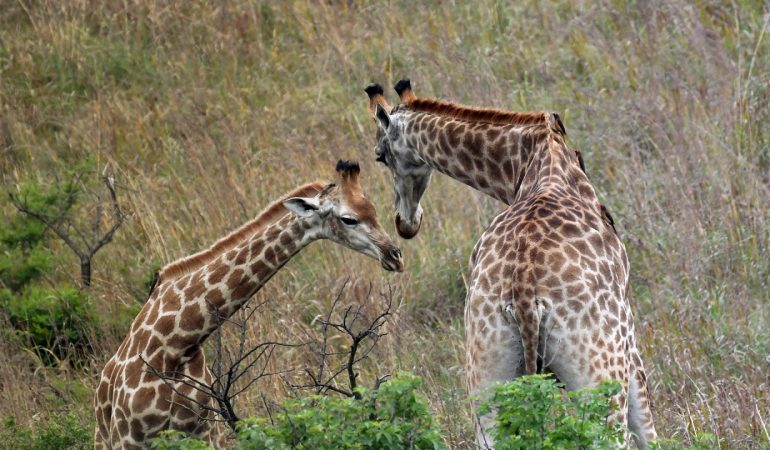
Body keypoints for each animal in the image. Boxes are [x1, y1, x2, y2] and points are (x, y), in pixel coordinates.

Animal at [93, 160, 402, 448]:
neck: (175, 345)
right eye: (349, 219)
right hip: (103, 440)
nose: (395, 256)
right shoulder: (129, 438)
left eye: (374, 210)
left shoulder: (206, 432)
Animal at [364, 81, 656, 446]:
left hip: (486, 376)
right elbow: (650, 432)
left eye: (380, 155)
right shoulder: (631, 347)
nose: (404, 223)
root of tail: (525, 295)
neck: (526, 160)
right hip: (600, 375)